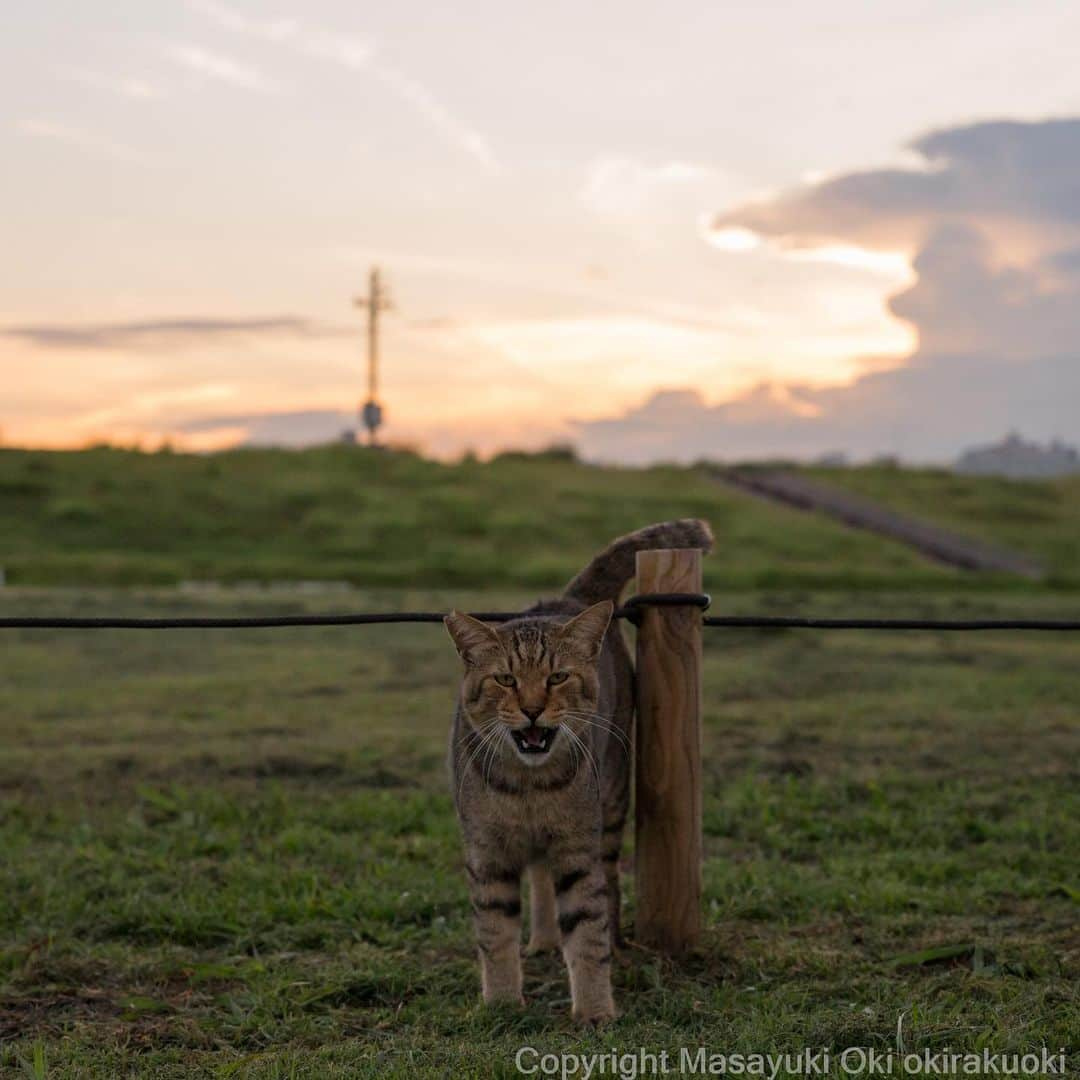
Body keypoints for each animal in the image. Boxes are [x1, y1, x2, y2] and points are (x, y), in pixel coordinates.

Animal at [442, 518, 712, 1023]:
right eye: (505, 679)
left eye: (557, 677)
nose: (531, 709)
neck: (528, 787)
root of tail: (569, 598)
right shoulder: (486, 852)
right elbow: (494, 933)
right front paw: (502, 1003)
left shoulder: (577, 848)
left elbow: (588, 931)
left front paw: (594, 1009)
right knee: (539, 877)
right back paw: (544, 940)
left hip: (611, 804)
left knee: (608, 887)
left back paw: (614, 946)